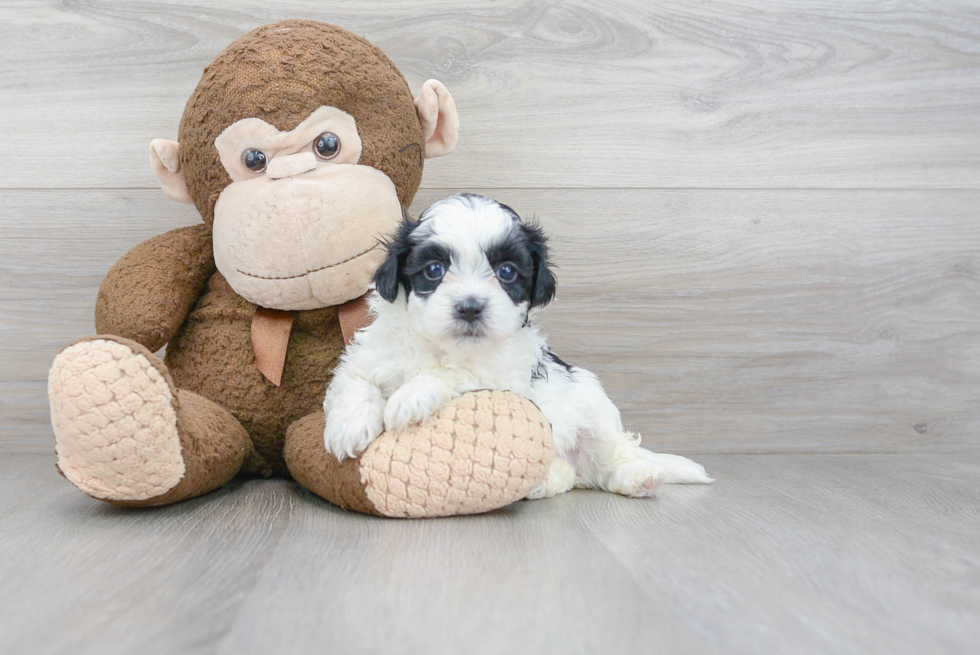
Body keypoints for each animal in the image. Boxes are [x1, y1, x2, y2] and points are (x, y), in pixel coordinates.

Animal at [322, 193, 712, 498]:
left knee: (612, 459)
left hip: (596, 411)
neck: (443, 347)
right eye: (434, 269)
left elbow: (456, 374)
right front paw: (349, 427)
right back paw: (545, 482)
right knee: (576, 475)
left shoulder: (502, 378)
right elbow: (356, 383)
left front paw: (410, 397)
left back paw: (638, 477)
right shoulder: (367, 357)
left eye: (507, 272)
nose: (470, 307)